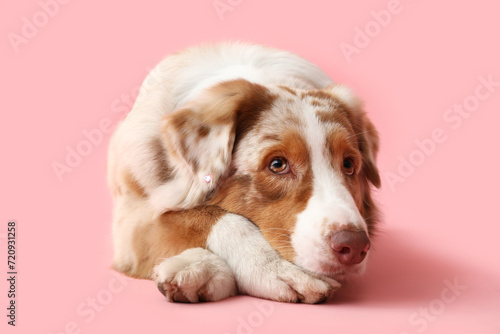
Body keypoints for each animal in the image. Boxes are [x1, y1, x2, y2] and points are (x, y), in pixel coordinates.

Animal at [107, 41, 380, 302]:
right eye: (277, 165)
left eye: (349, 164)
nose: (354, 247)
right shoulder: (130, 220)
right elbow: (203, 217)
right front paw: (278, 268)